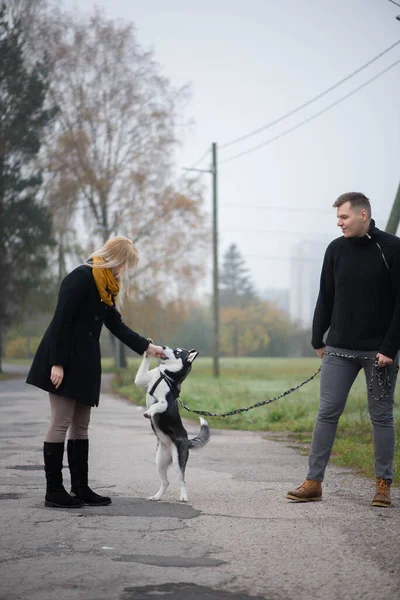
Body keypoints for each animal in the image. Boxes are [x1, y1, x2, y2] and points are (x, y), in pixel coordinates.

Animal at [134, 344, 209, 504]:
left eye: (178, 352)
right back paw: (157, 496)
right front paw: (148, 348)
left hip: (178, 462)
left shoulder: (164, 402)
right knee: (165, 482)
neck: (165, 376)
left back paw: (183, 496)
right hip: (159, 462)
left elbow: (155, 406)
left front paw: (149, 412)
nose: (163, 346)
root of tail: (187, 440)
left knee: (182, 480)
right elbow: (142, 371)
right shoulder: (142, 379)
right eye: (176, 348)